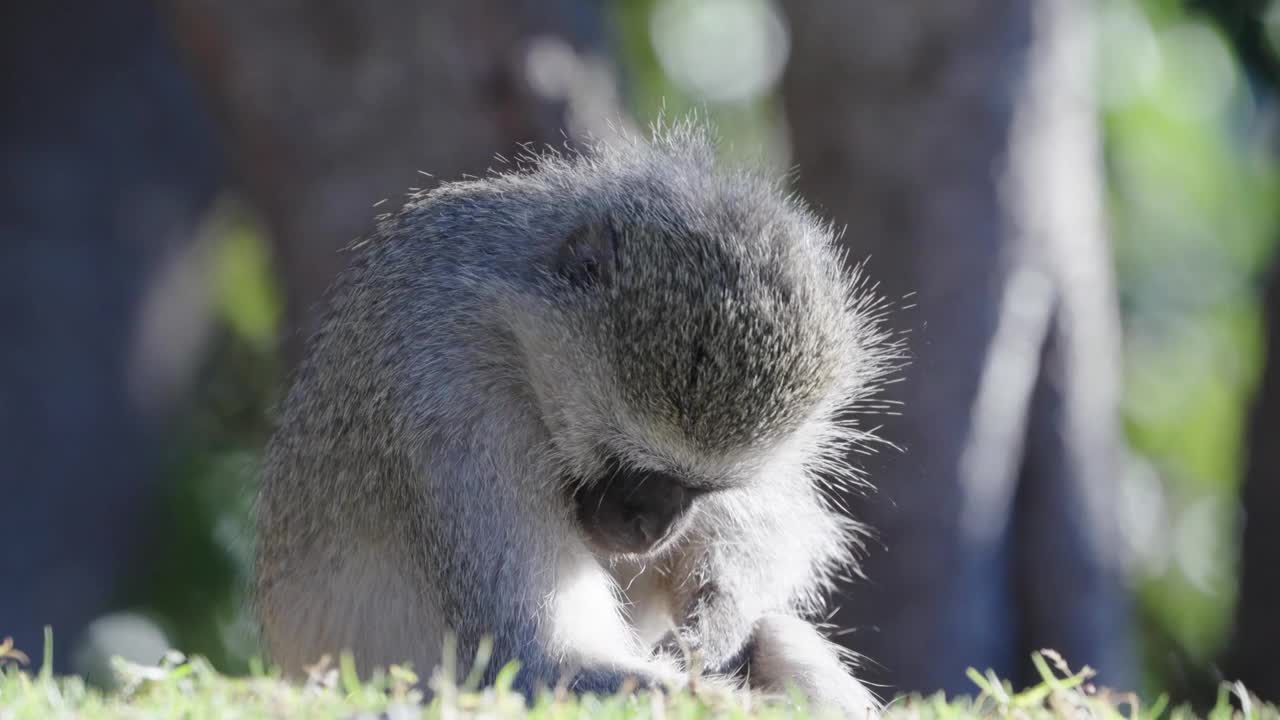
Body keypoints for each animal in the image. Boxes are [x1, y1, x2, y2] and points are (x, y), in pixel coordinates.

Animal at [254, 120, 901, 712]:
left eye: (699, 488)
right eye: (636, 466)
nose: (650, 529)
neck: (512, 334)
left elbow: (773, 529)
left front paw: (717, 617)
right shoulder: (451, 395)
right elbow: (532, 659)